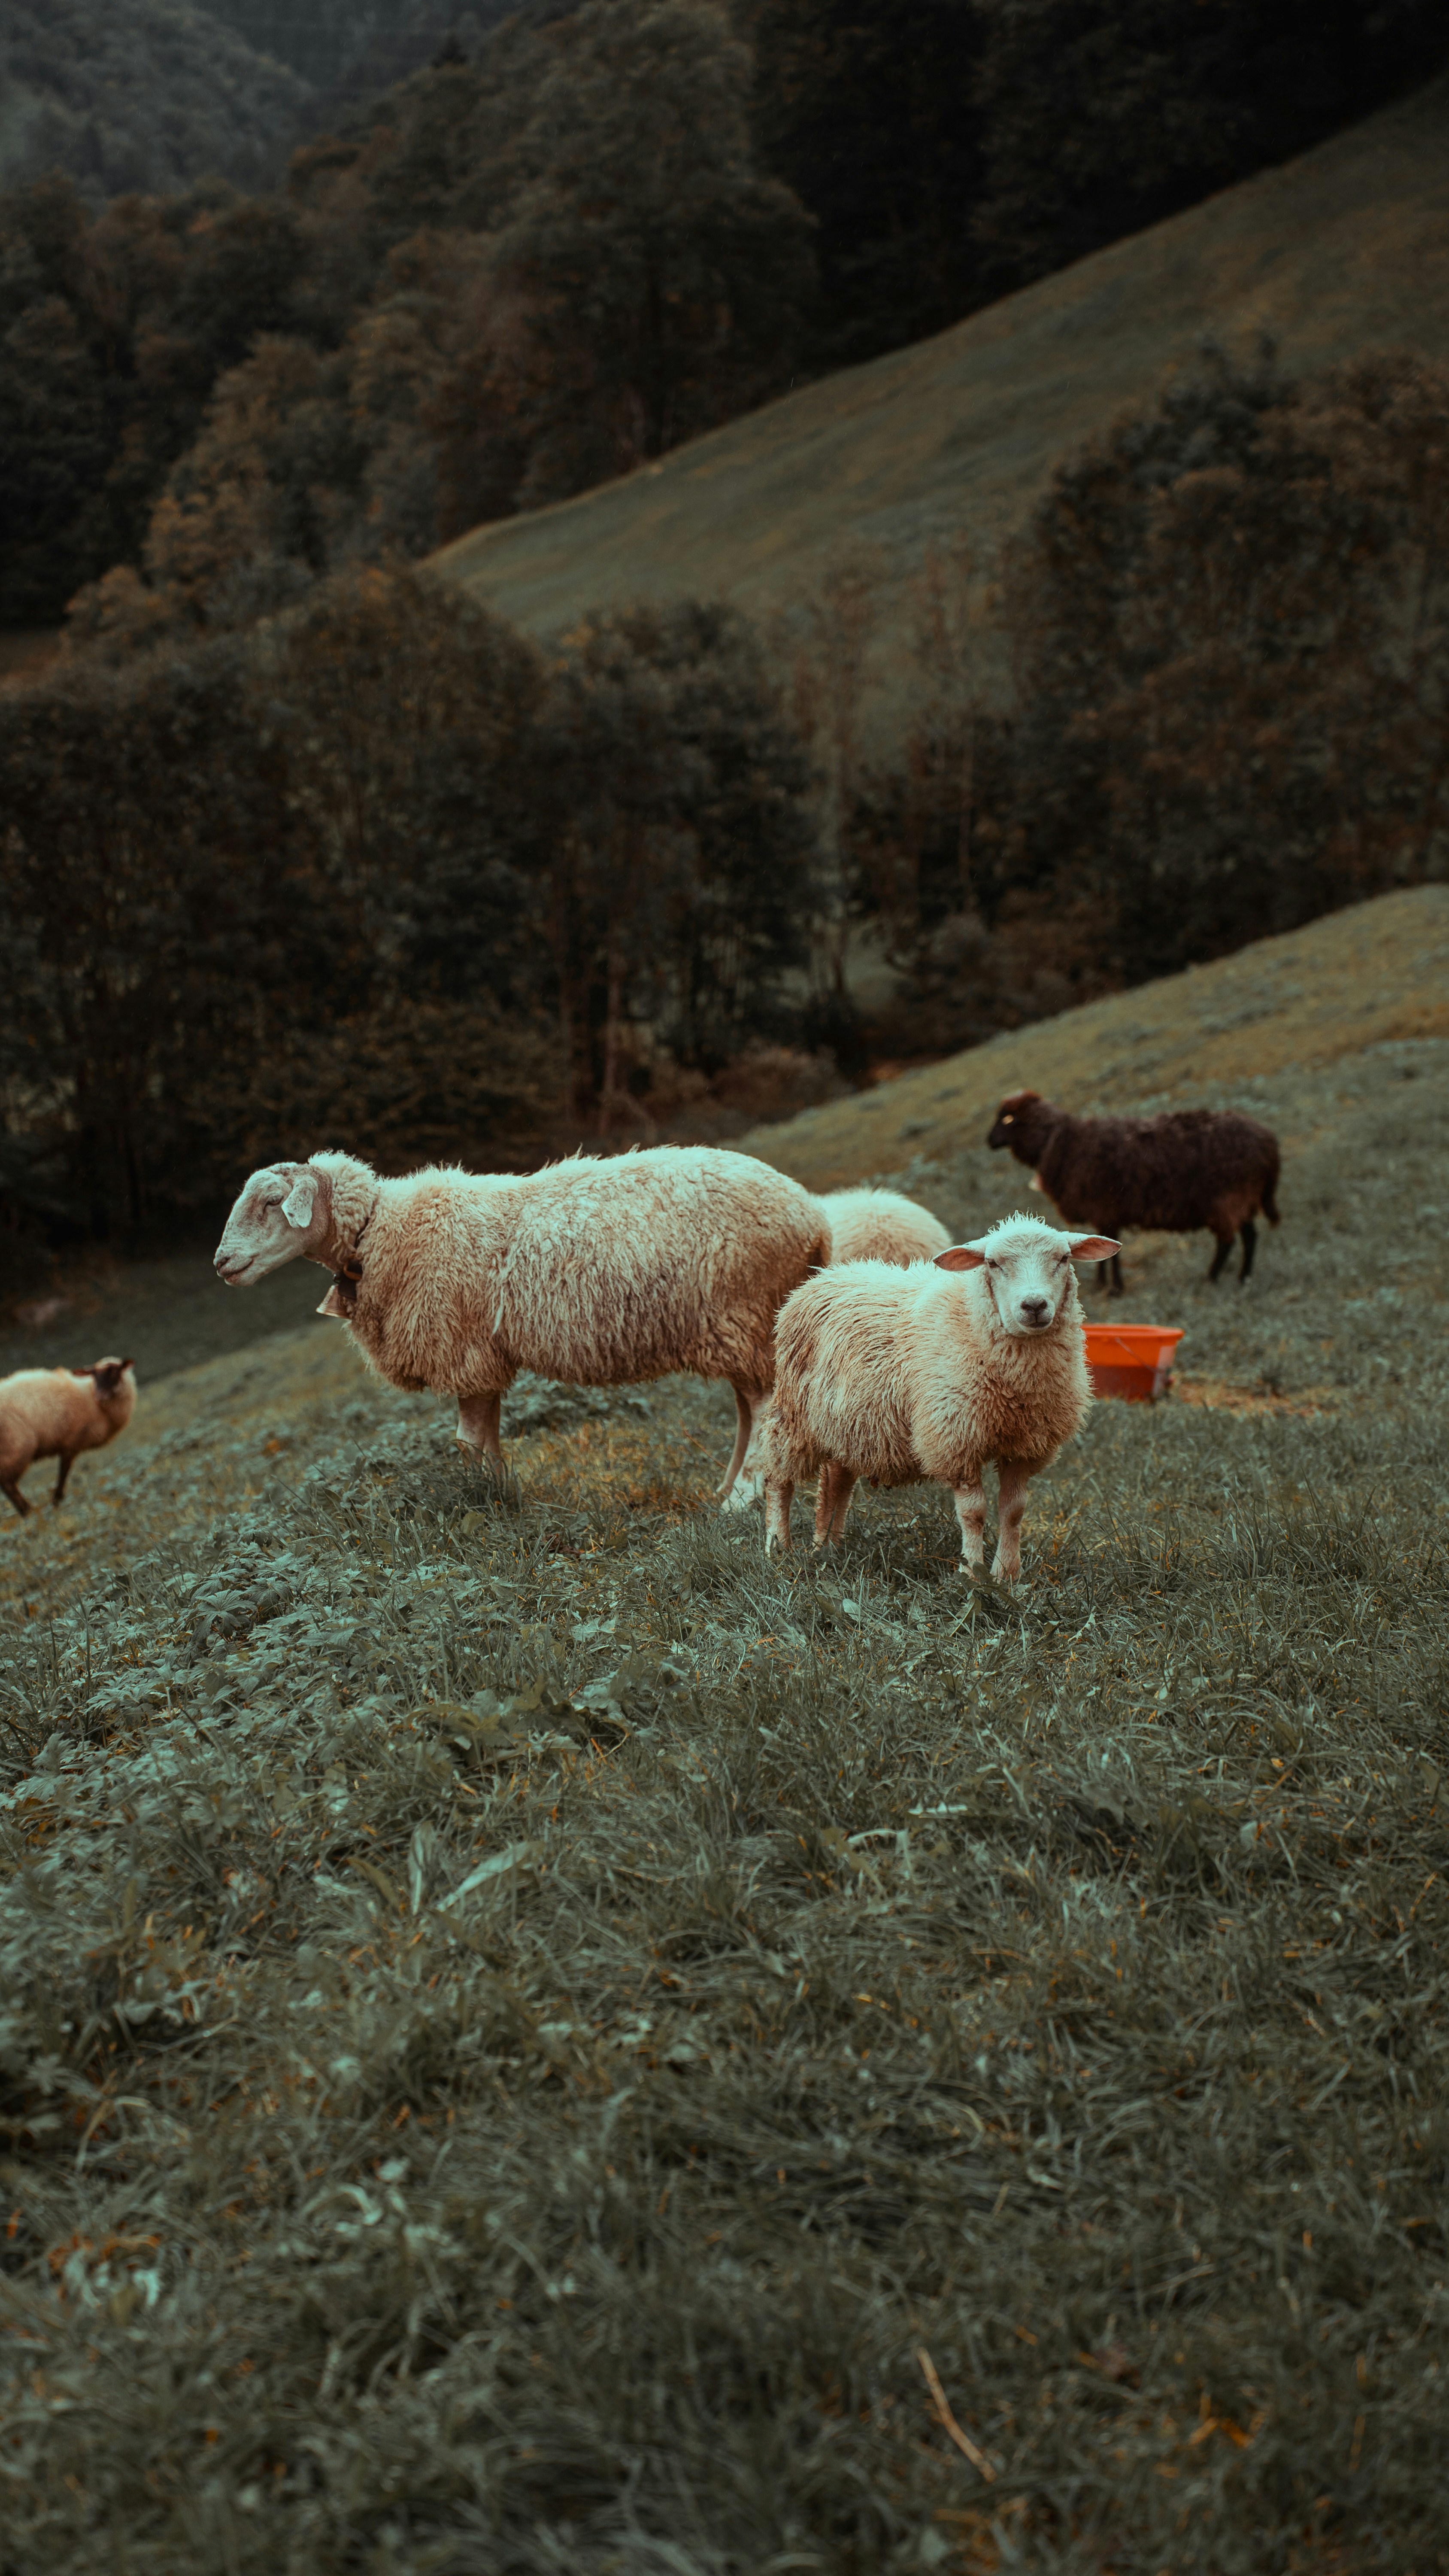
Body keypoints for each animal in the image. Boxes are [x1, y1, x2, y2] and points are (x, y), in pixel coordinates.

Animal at [0, 1357, 136, 1519]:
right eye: (94, 1374)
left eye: (115, 1371)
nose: (101, 1396)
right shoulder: (72, 1442)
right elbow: (64, 1472)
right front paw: (57, 1499)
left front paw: (57, 1499)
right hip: (16, 1448)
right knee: (7, 1483)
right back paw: (27, 1511)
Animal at [213, 1146, 829, 1501]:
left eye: (271, 1201)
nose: (221, 1263)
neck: (377, 1230)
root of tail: (810, 1215)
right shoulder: (481, 1356)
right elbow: (484, 1437)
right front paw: (502, 1490)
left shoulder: (461, 1348)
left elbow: (468, 1441)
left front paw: (487, 1498)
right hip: (741, 1325)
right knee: (748, 1409)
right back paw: (727, 1492)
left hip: (740, 1312)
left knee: (763, 1409)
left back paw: (743, 1496)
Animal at [762, 1214, 1117, 1581]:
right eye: (993, 1263)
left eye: (1063, 1259)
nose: (1034, 1306)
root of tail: (824, 1275)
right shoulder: (956, 1438)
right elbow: (974, 1513)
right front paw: (972, 1573)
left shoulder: (1024, 1446)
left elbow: (1014, 1511)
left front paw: (1007, 1575)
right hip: (793, 1415)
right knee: (778, 1478)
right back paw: (778, 1547)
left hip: (848, 1426)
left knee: (836, 1483)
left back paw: (828, 1547)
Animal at [987, 1090, 1280, 1294]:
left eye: (1008, 1119)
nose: (989, 1141)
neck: (1062, 1144)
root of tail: (1268, 1141)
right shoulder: (1104, 1212)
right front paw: (1102, 1283)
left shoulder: (1105, 1208)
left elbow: (1110, 1250)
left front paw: (1115, 1288)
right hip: (1242, 1199)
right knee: (1250, 1236)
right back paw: (1244, 1278)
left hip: (1228, 1198)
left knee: (1228, 1240)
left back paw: (1213, 1278)